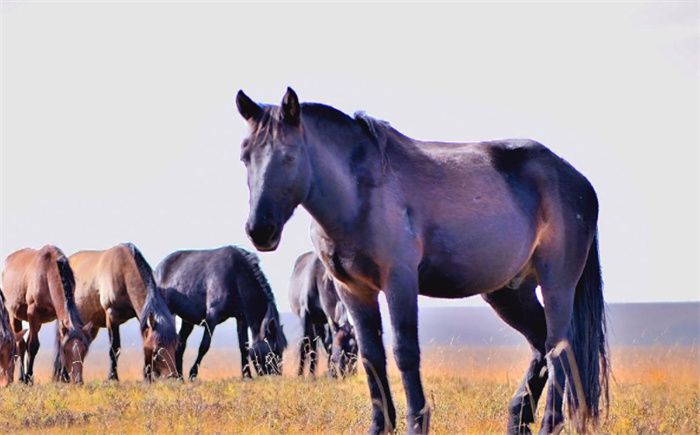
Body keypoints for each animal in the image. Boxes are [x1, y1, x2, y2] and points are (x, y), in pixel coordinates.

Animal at [1, 245, 93, 384]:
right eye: (66, 351)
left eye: (84, 350)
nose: (77, 380)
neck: (47, 272)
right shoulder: (33, 312)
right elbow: (32, 345)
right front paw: (29, 378)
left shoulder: (58, 315)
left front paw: (63, 377)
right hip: (14, 316)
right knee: (20, 345)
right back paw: (22, 378)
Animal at [56, 244, 179, 384]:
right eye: (157, 348)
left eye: (175, 345)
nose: (173, 377)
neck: (123, 271)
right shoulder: (111, 316)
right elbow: (114, 349)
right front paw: (113, 377)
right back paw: (63, 376)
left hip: (90, 326)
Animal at [155, 247, 288, 380]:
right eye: (273, 348)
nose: (277, 376)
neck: (236, 276)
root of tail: (158, 269)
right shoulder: (212, 317)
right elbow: (204, 346)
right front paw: (193, 374)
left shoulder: (241, 319)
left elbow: (243, 347)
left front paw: (247, 376)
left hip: (187, 321)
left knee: (180, 344)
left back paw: (179, 376)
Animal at [235, 88, 608, 435]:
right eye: (245, 156)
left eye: (288, 156)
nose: (259, 230)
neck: (359, 194)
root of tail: (579, 181)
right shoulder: (353, 290)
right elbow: (371, 357)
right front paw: (380, 425)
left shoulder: (399, 281)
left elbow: (404, 352)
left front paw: (418, 422)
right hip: (509, 292)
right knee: (539, 344)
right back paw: (518, 417)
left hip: (557, 284)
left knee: (558, 348)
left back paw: (547, 423)